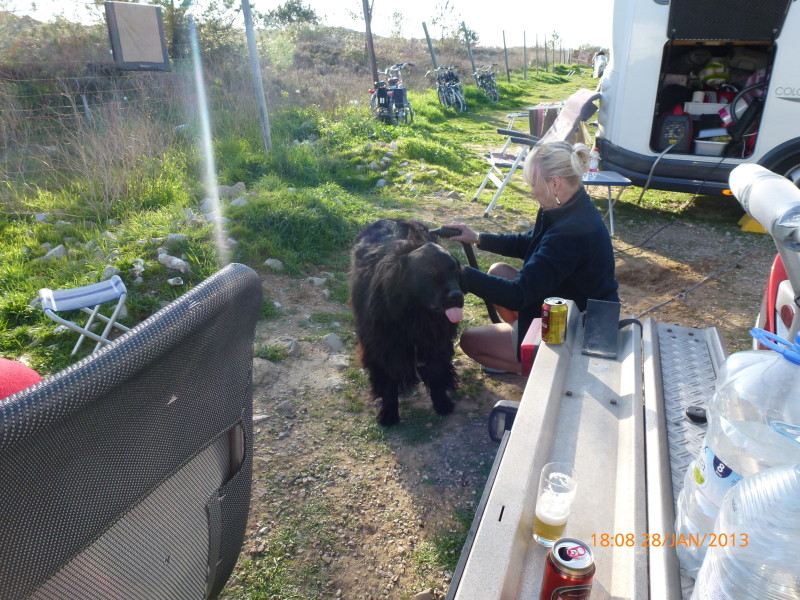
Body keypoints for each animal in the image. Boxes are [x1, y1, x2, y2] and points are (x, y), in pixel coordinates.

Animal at [349, 219, 465, 426]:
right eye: (430, 271)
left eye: (455, 270)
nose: (457, 296)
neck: (416, 314)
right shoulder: (382, 344)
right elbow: (387, 380)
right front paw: (389, 412)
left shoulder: (435, 341)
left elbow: (437, 372)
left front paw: (442, 403)